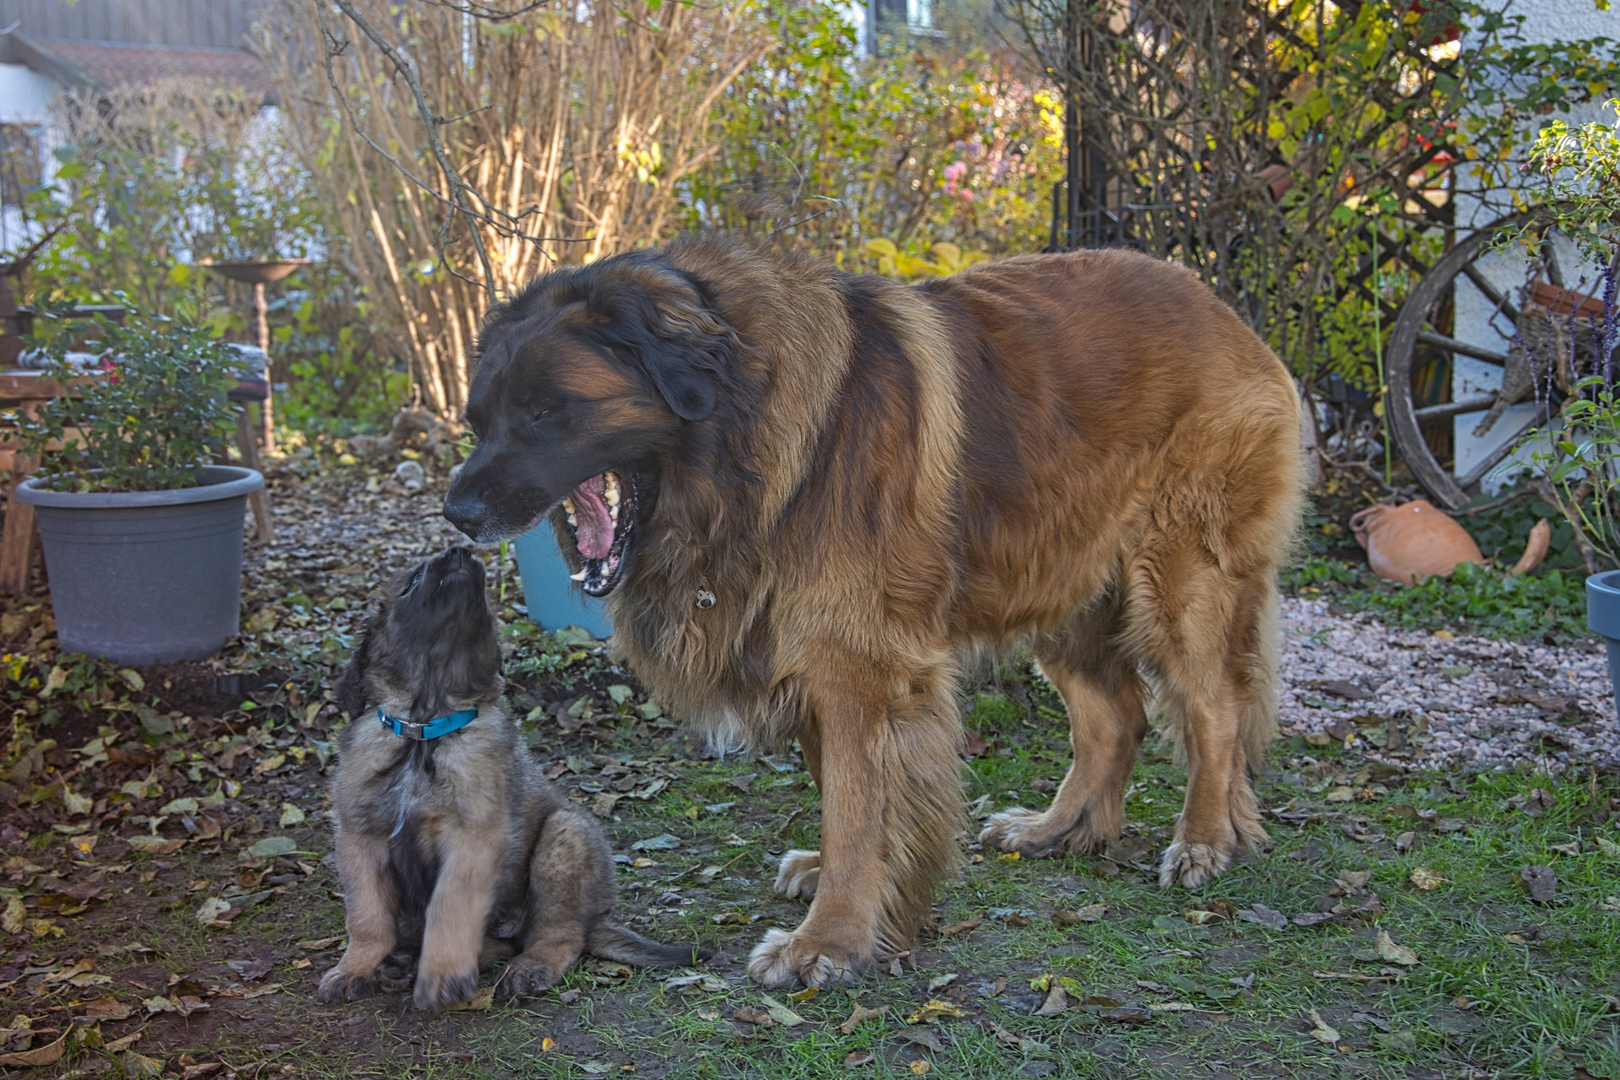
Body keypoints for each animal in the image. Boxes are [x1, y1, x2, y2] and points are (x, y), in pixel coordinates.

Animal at [317, 550, 703, 1016]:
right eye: (413, 581)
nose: (459, 552)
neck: (424, 730)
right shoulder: (359, 836)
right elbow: (367, 917)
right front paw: (355, 967)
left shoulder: (474, 837)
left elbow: (451, 907)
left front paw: (442, 975)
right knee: (500, 944)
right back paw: (402, 963)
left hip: (566, 836)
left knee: (558, 935)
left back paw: (529, 967)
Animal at [443, 236, 1302, 990]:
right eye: (478, 420)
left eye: (546, 411)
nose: (457, 514)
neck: (742, 450)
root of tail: (1216, 305)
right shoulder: (814, 654)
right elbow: (844, 793)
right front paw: (843, 891)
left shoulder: (860, 665)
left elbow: (857, 807)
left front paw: (829, 940)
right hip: (1059, 577)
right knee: (1113, 717)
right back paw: (1058, 828)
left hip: (1181, 577)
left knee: (1212, 712)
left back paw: (1204, 841)